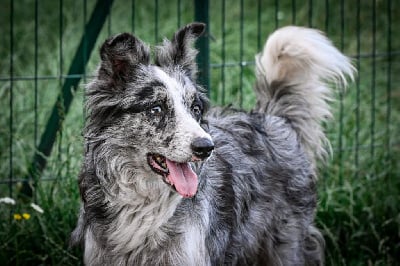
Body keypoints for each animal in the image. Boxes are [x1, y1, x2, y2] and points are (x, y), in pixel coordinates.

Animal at [71, 23, 354, 266]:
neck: (143, 207)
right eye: (156, 109)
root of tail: (272, 117)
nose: (206, 148)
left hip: (286, 247)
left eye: (195, 109)